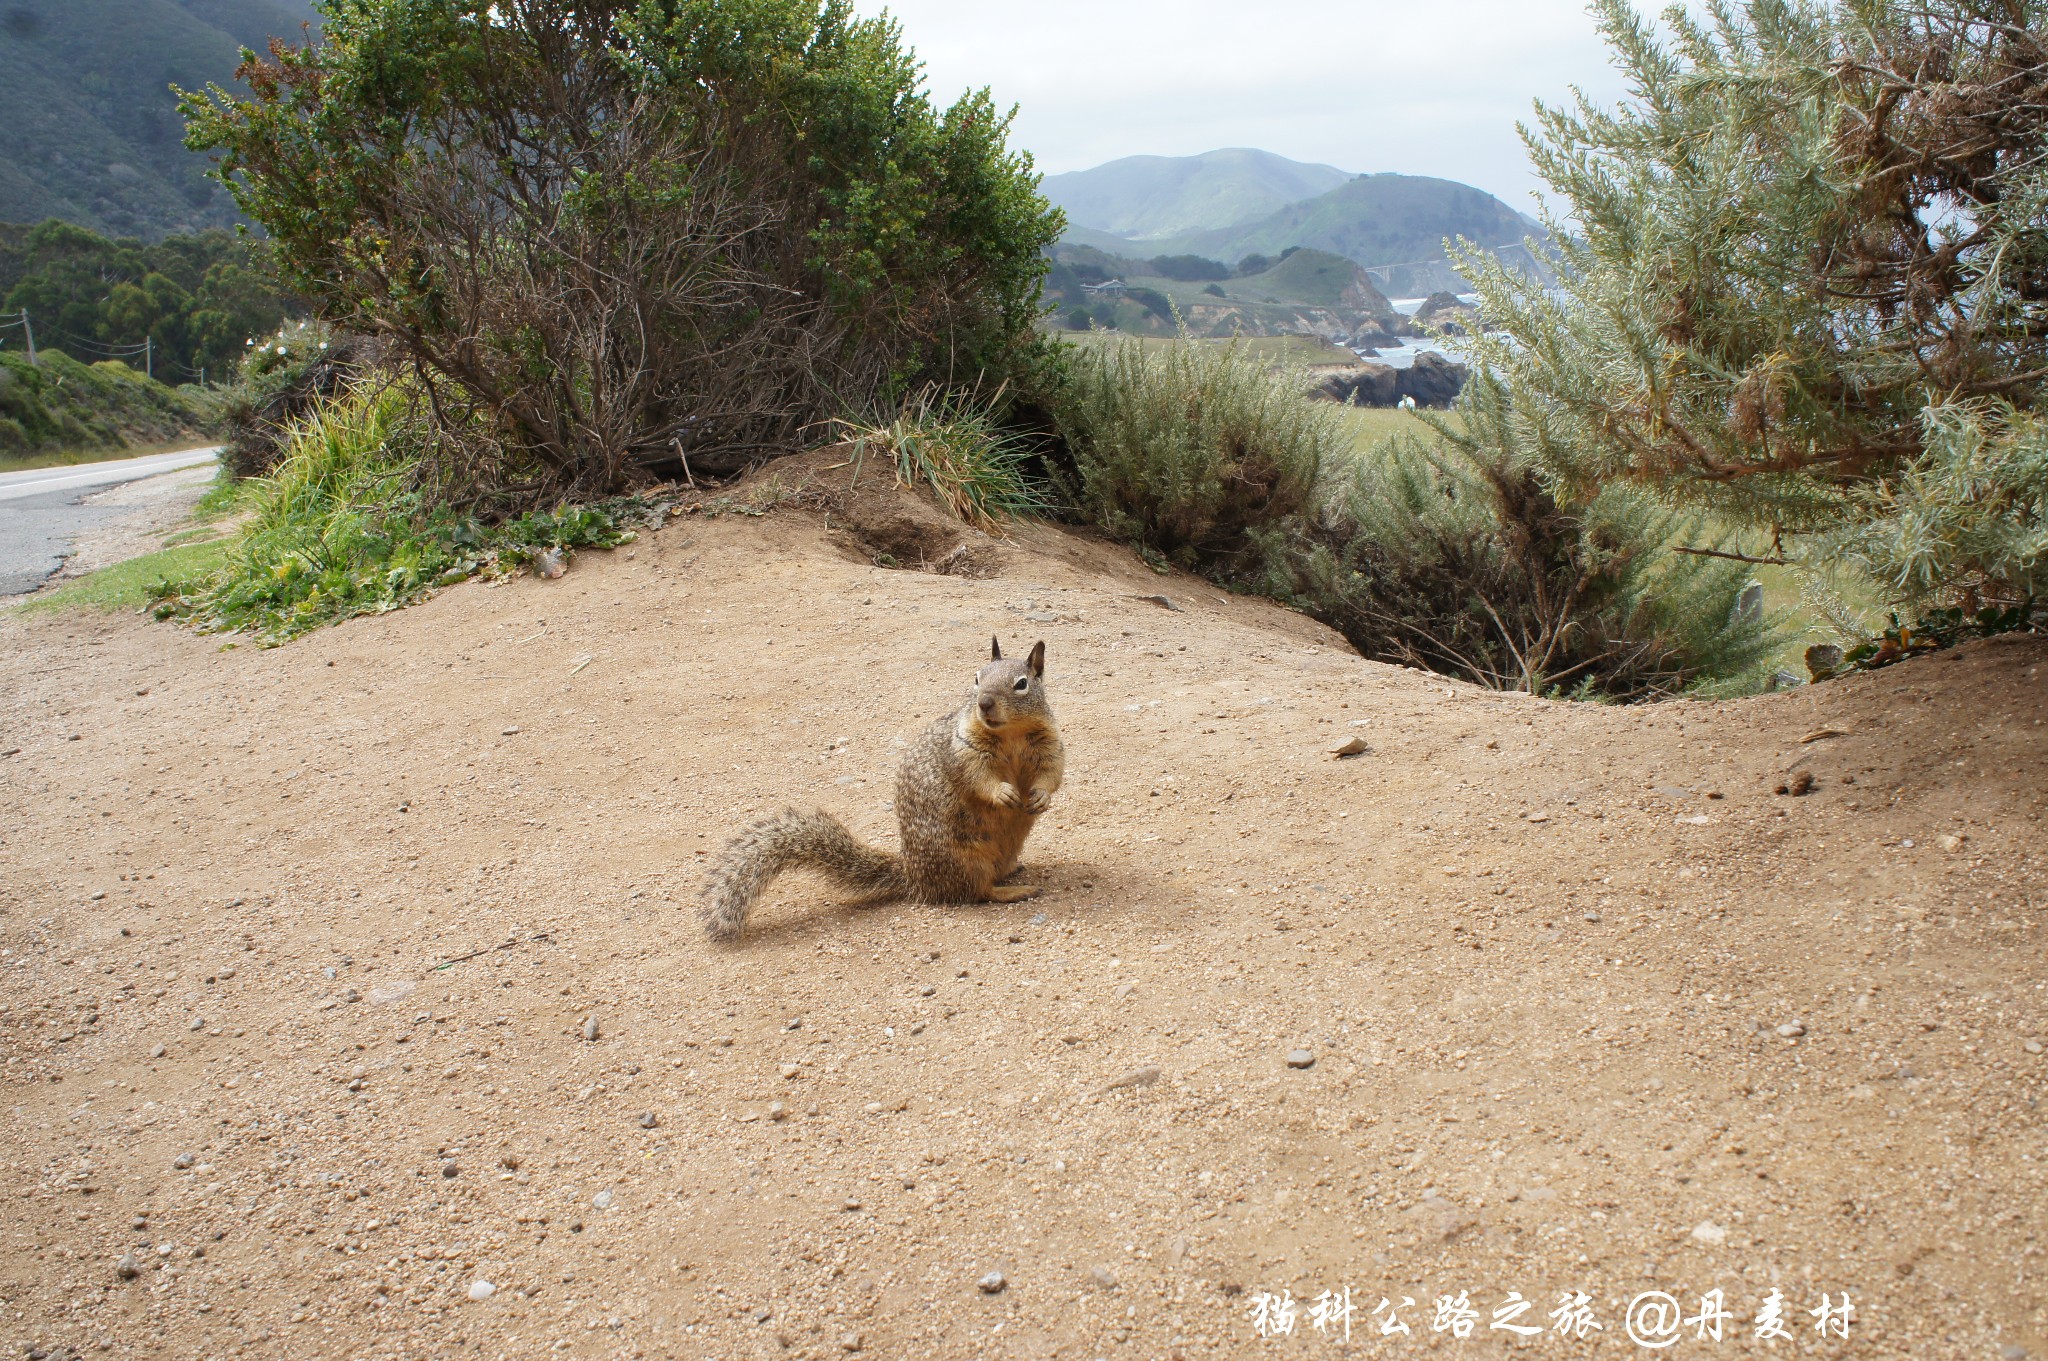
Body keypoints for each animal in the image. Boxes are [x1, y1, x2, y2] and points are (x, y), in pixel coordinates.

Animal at [696, 634, 1064, 933]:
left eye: (1021, 684)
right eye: (976, 677)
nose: (984, 703)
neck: (1010, 734)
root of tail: (913, 876)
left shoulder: (1050, 745)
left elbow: (1052, 773)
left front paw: (1040, 797)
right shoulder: (965, 750)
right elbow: (979, 776)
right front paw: (1003, 792)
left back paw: (1013, 871)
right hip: (965, 860)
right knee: (975, 892)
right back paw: (1013, 890)